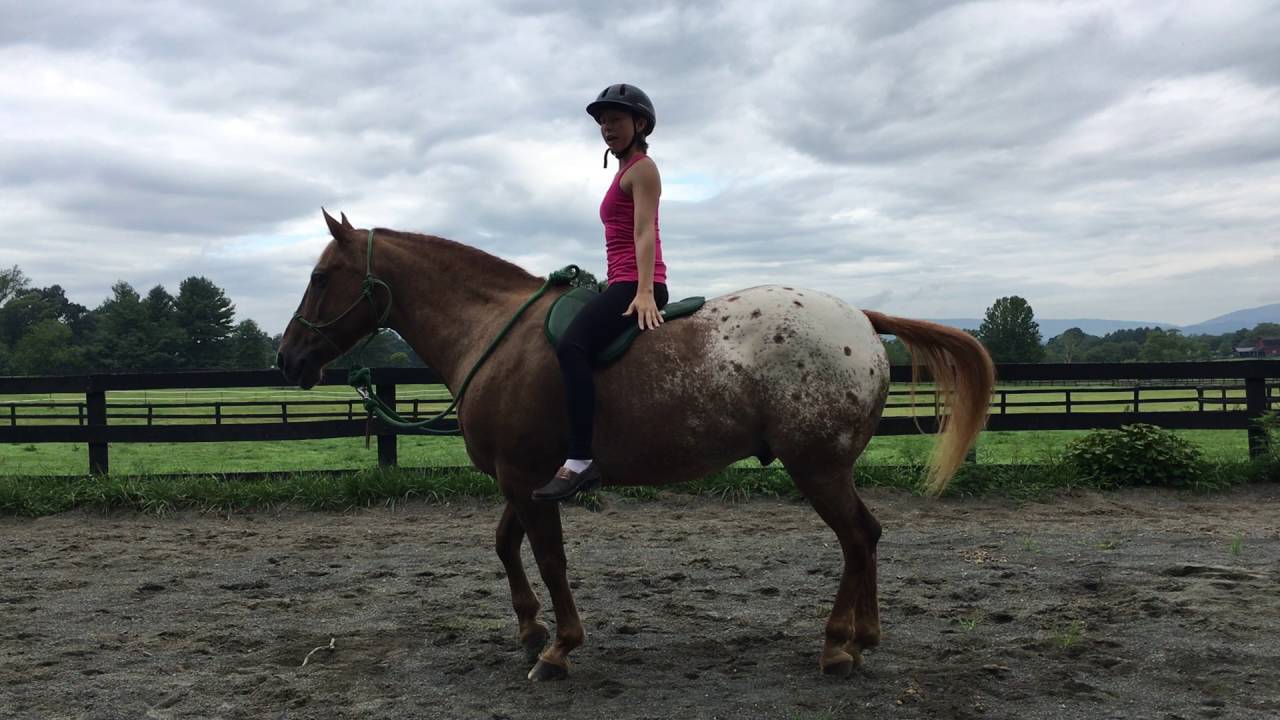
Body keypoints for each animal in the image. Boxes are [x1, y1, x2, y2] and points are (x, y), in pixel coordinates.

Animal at [277, 211, 998, 676]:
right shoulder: (524, 478)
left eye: (320, 276)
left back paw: (837, 645)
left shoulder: (527, 480)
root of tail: (861, 319)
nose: (288, 359)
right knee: (867, 538)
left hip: (818, 469)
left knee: (855, 541)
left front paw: (559, 647)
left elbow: (550, 560)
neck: (495, 335)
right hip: (828, 469)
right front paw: (530, 628)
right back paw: (861, 638)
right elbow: (507, 547)